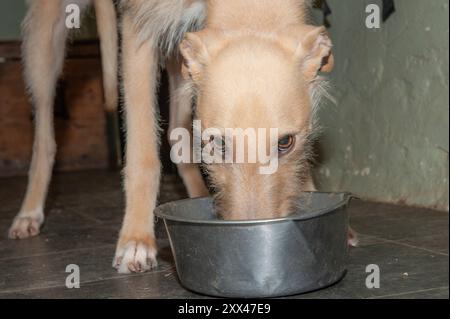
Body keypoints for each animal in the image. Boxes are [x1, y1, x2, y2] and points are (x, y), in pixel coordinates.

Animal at [8, 0, 356, 276]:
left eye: (285, 143)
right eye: (219, 143)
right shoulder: (137, 27)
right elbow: (142, 154)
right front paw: (136, 240)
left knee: (177, 137)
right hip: (47, 38)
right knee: (44, 134)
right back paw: (29, 212)